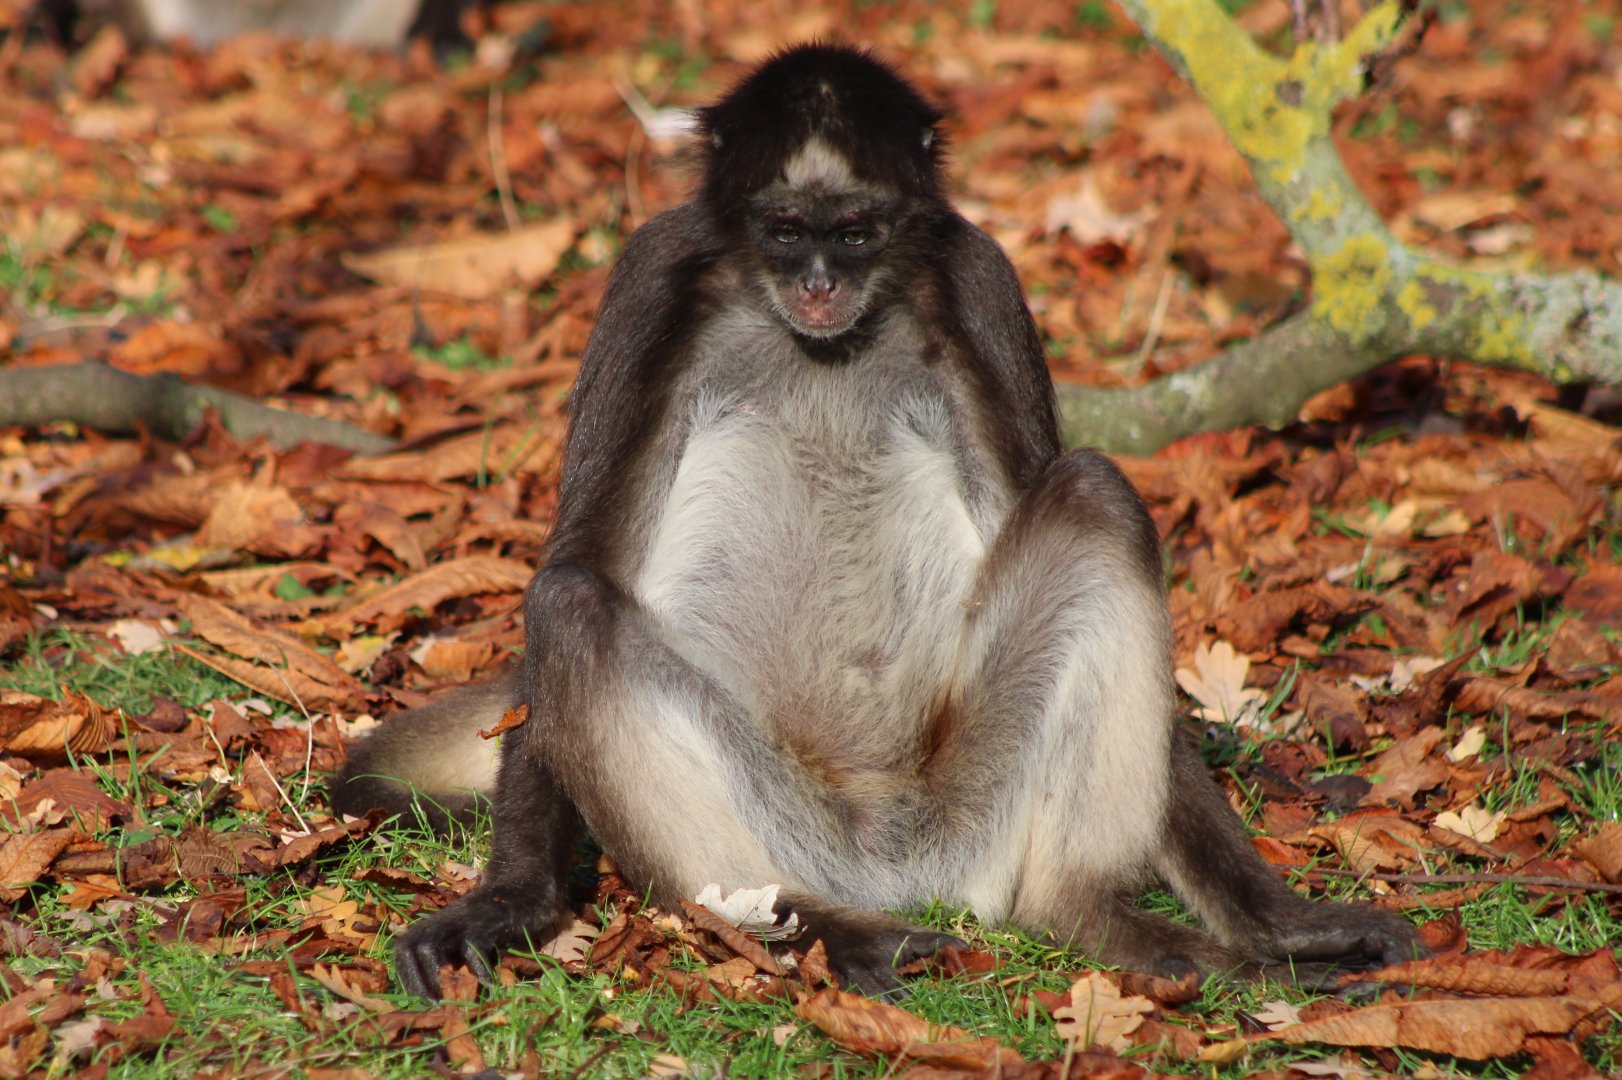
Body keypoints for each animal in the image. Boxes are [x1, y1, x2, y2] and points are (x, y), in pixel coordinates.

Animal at [333, 42, 1420, 1000]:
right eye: (784, 231)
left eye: (854, 232)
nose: (819, 283)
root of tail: (891, 867)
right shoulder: (653, 273)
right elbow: (581, 555)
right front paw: (513, 901)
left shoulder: (976, 275)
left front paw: (1280, 921)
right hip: (782, 826)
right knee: (568, 606)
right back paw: (825, 930)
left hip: (969, 810)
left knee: (1092, 492)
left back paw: (1093, 918)